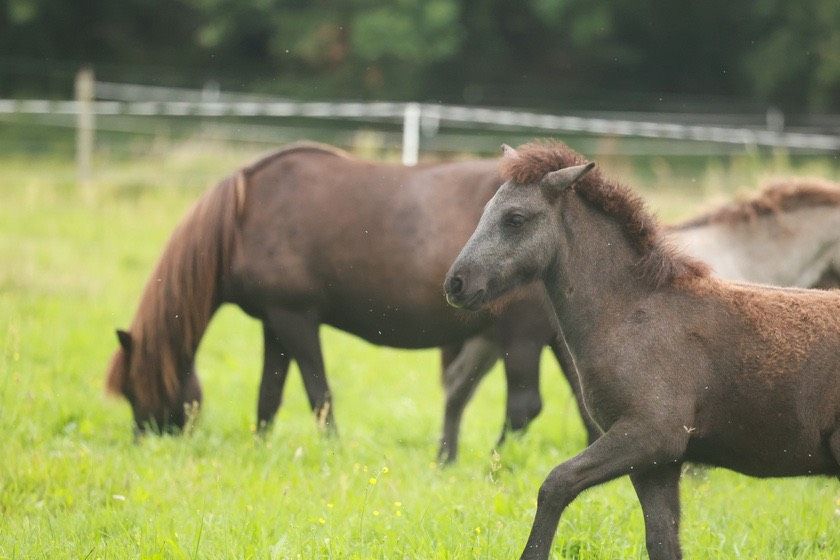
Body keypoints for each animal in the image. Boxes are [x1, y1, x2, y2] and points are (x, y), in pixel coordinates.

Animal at [105, 140, 588, 460]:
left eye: (133, 389)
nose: (142, 444)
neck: (243, 217)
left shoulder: (295, 318)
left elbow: (318, 393)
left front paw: (331, 452)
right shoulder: (273, 324)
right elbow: (268, 395)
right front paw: (259, 450)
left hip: (521, 337)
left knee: (524, 406)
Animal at [442, 142, 840, 560]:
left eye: (515, 219)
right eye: (486, 210)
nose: (456, 283)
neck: (632, 312)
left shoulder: (651, 435)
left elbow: (556, 483)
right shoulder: (657, 463)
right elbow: (662, 540)